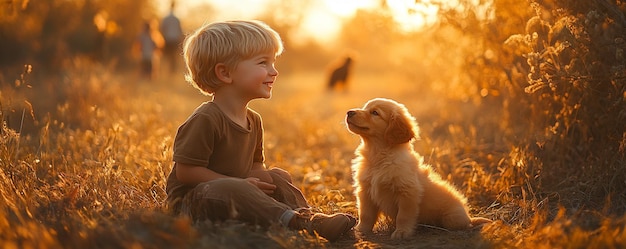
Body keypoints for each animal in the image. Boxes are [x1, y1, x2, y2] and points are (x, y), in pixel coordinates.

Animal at [344, 98, 490, 239]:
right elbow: (365, 214)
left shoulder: (408, 193)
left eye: (375, 113)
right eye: (365, 108)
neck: (378, 156)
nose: (349, 112)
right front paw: (361, 230)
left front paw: (402, 232)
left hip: (453, 219)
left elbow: (403, 216)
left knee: (465, 224)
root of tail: (468, 216)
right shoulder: (365, 191)